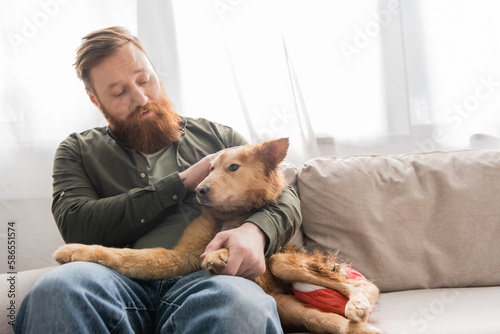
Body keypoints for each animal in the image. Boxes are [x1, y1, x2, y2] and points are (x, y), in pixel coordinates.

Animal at [54, 138, 380, 334]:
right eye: (209, 168)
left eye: (233, 167)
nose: (198, 191)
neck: (230, 215)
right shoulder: (181, 256)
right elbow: (124, 255)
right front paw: (74, 250)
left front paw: (220, 254)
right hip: (288, 306)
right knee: (332, 321)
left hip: (280, 262)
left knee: (365, 286)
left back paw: (358, 304)